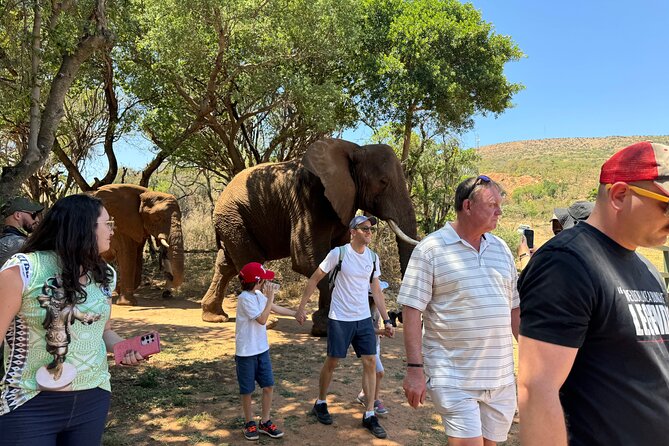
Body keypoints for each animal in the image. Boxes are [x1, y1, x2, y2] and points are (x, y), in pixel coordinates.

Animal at [201, 138, 418, 336]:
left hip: (232, 221)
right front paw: (326, 327)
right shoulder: (309, 197)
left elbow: (333, 255)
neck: (354, 149)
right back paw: (267, 321)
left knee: (226, 264)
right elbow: (308, 259)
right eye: (383, 182)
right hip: (234, 218)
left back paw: (215, 317)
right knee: (250, 260)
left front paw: (324, 326)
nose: (397, 316)